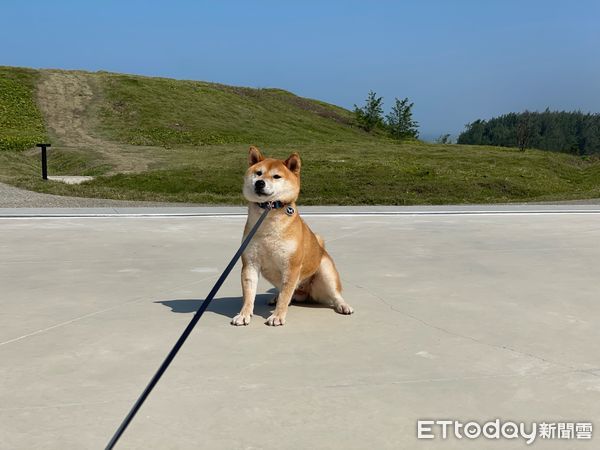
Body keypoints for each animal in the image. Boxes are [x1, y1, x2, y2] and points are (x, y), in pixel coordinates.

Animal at [232, 148, 354, 326]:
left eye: (276, 176)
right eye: (258, 173)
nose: (259, 183)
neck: (269, 217)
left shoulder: (292, 267)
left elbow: (285, 296)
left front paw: (277, 316)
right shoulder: (250, 264)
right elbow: (249, 295)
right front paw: (244, 314)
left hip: (325, 271)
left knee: (334, 295)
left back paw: (343, 305)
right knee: (289, 293)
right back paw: (277, 298)